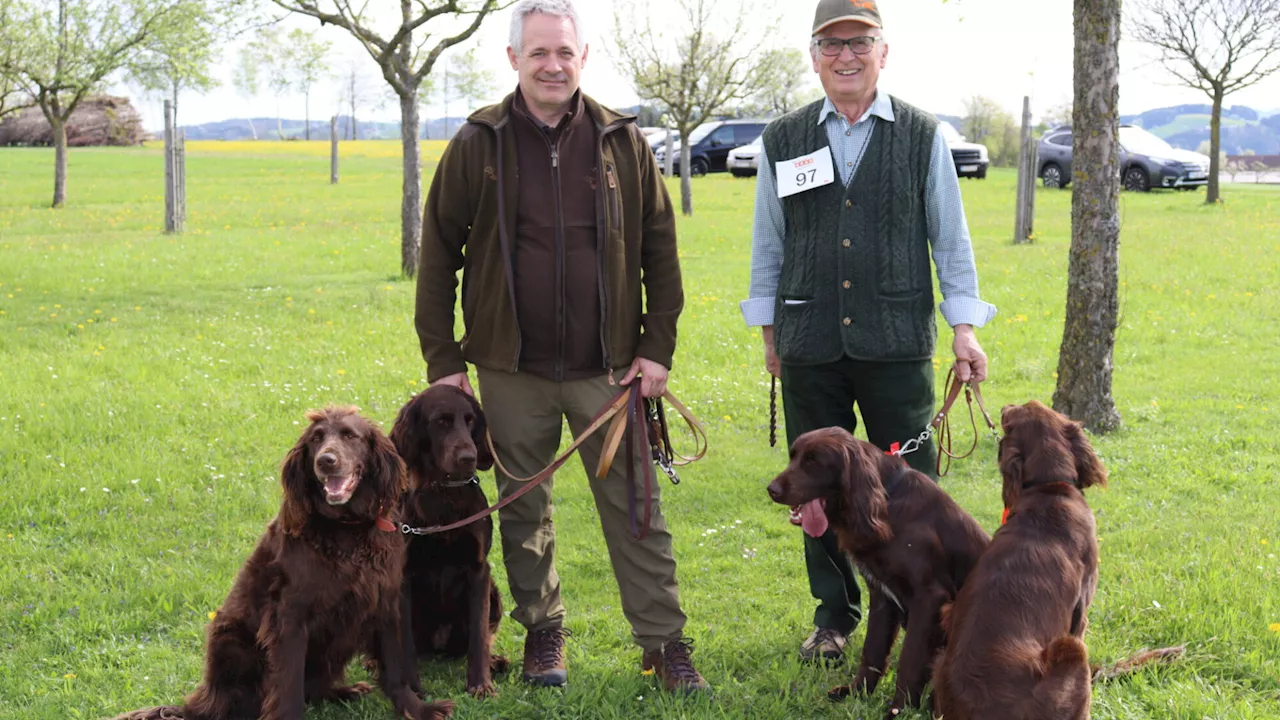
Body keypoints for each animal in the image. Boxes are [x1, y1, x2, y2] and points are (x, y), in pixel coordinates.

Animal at [116, 407, 455, 717]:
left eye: (350, 436)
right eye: (316, 439)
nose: (325, 461)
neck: (346, 530)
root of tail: (200, 705)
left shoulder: (385, 600)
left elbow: (395, 667)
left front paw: (418, 708)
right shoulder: (289, 617)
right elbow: (288, 685)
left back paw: (345, 691)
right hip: (231, 640)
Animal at [389, 386, 509, 696]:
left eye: (470, 420)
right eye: (441, 422)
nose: (469, 457)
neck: (444, 494)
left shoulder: (478, 570)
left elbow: (479, 635)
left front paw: (480, 684)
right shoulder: (403, 574)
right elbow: (404, 642)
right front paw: (412, 689)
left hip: (494, 594)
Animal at [762, 425, 993, 717]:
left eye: (813, 462)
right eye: (793, 456)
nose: (771, 489)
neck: (887, 504)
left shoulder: (929, 598)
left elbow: (910, 659)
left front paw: (898, 710)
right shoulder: (882, 595)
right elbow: (872, 650)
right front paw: (856, 693)